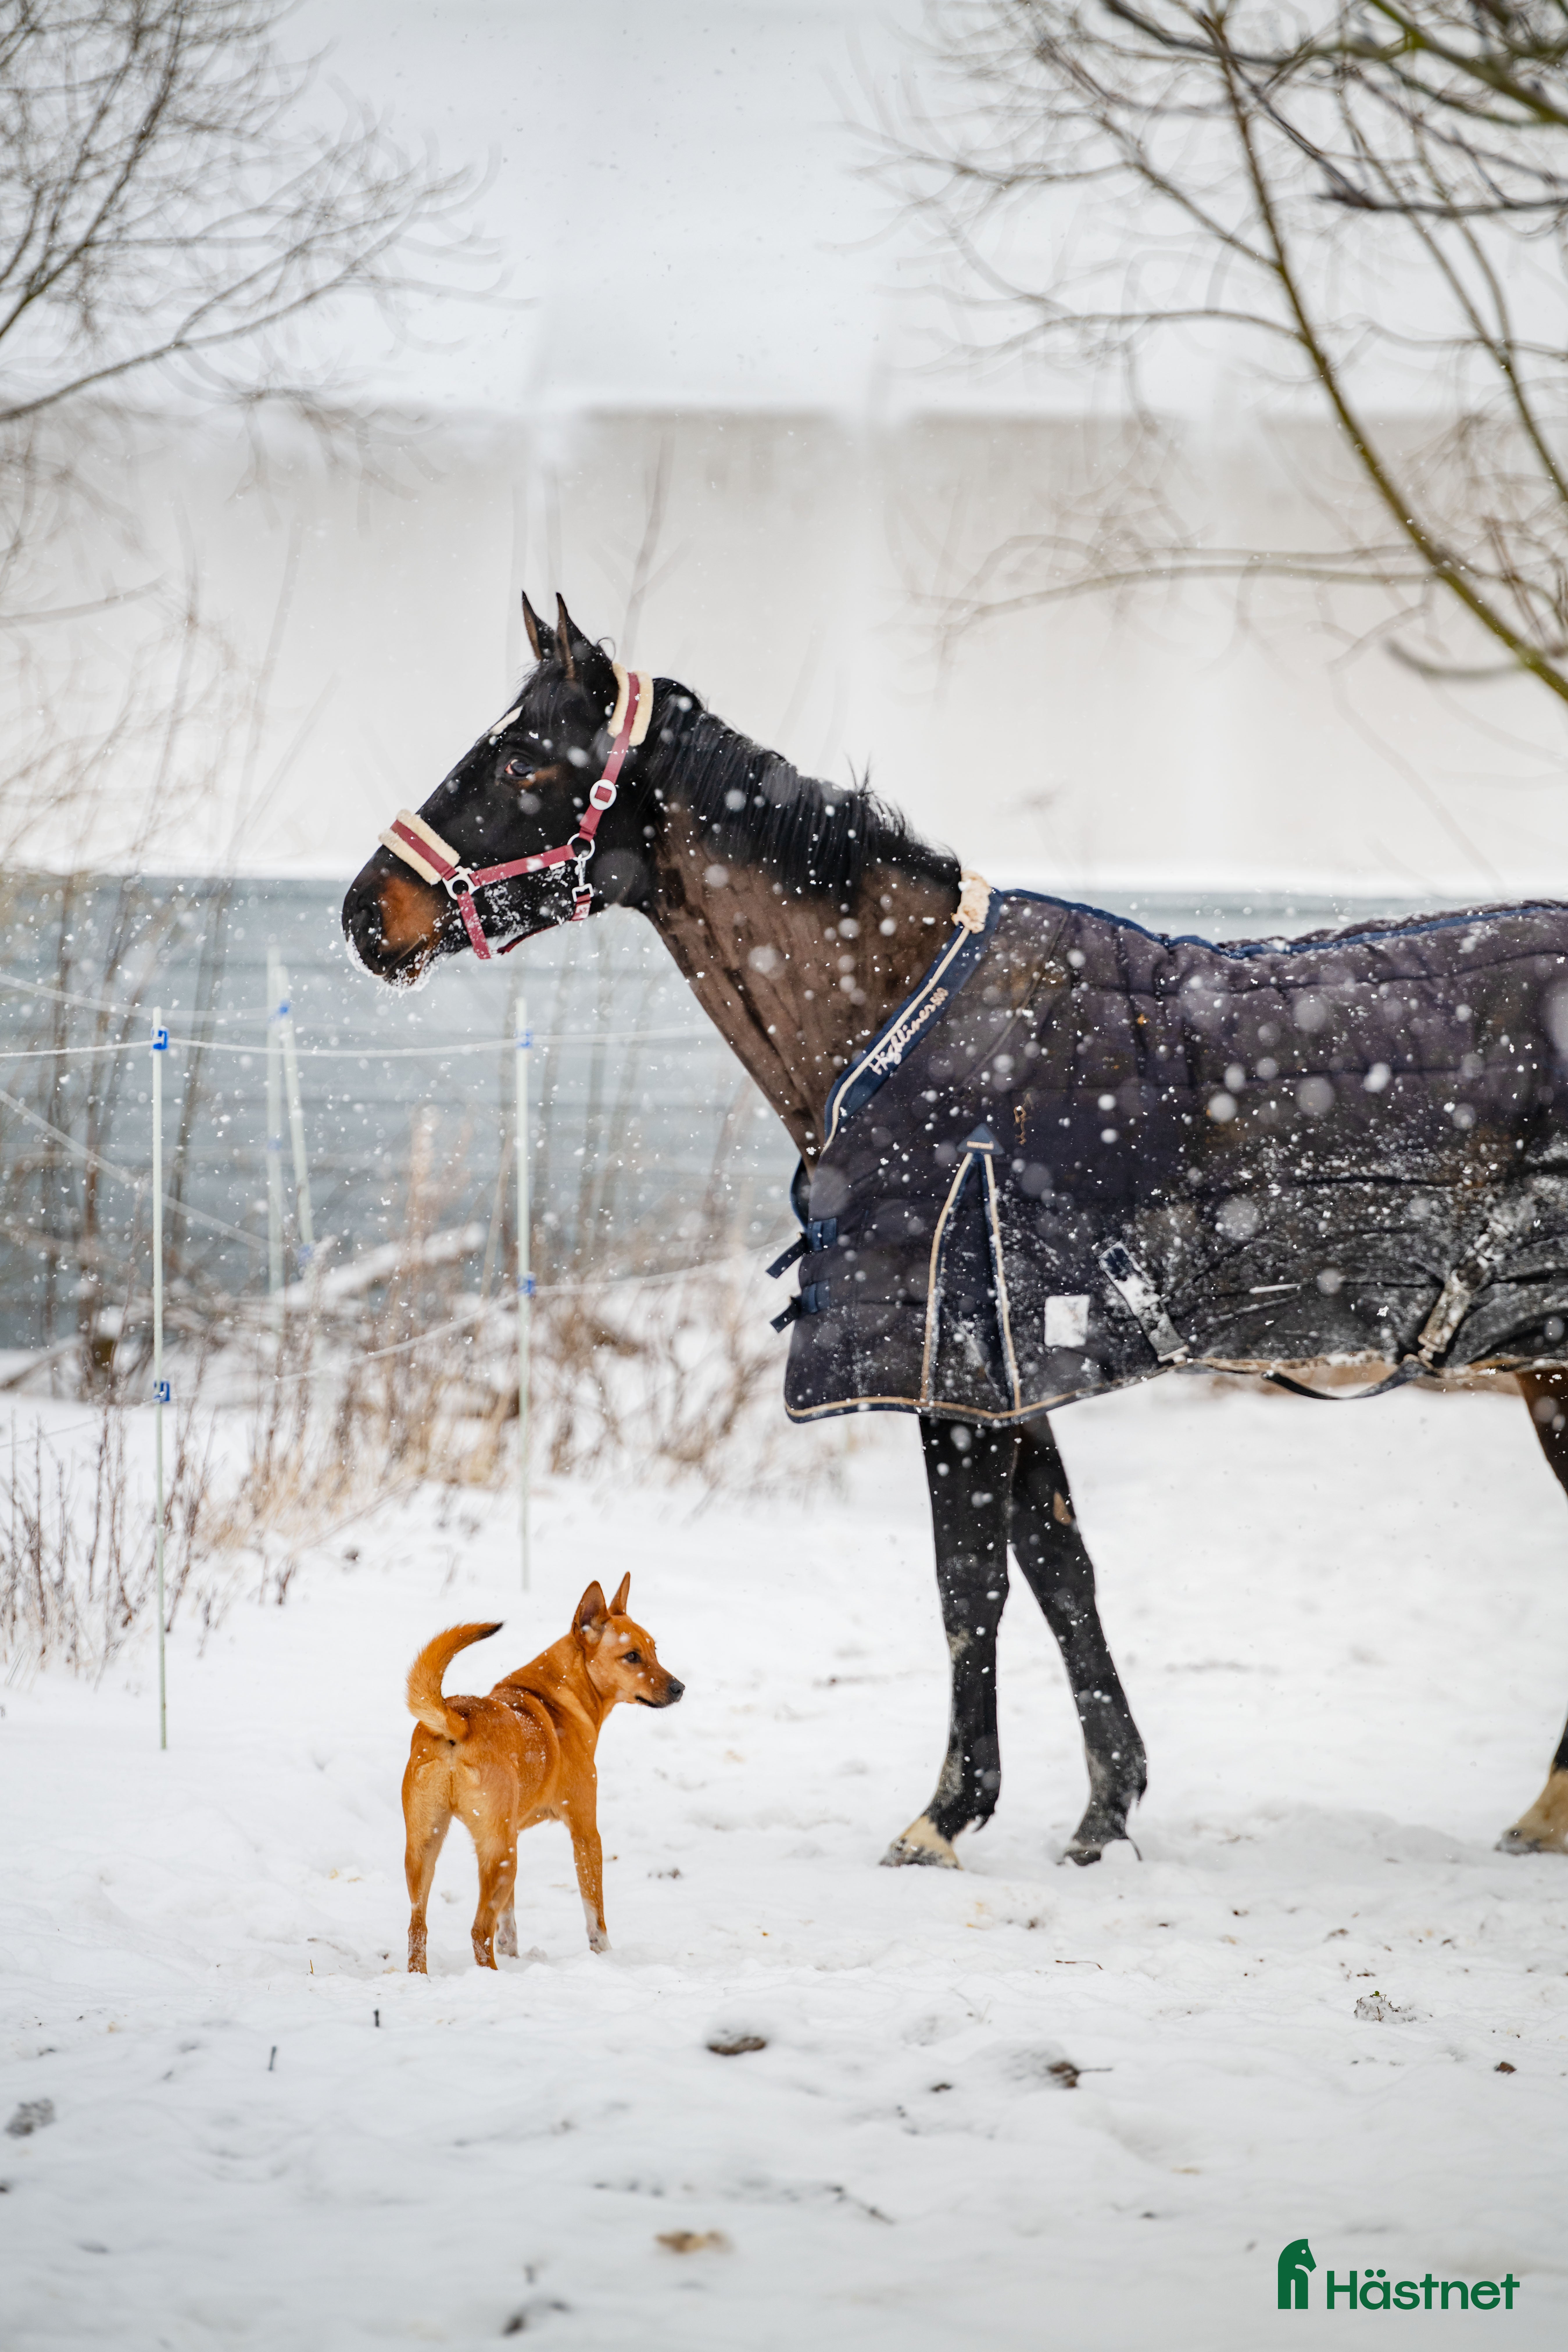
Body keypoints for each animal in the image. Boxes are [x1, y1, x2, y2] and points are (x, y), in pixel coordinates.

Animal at [342, 592, 1568, 1871]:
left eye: (524, 761)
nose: (365, 914)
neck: (895, 1019)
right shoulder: (1005, 1377)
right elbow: (1059, 1568)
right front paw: (1101, 1810)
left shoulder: (950, 1369)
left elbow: (967, 1584)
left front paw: (942, 1815)